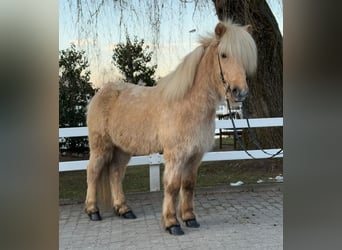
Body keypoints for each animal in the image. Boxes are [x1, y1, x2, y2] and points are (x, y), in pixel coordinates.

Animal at [85, 19, 256, 234]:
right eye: (224, 55)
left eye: (246, 59)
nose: (239, 93)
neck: (188, 104)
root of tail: (100, 93)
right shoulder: (176, 154)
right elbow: (173, 186)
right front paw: (172, 223)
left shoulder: (195, 155)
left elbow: (188, 185)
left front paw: (189, 218)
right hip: (101, 147)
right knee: (93, 172)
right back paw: (93, 211)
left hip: (122, 149)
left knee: (115, 173)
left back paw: (124, 209)